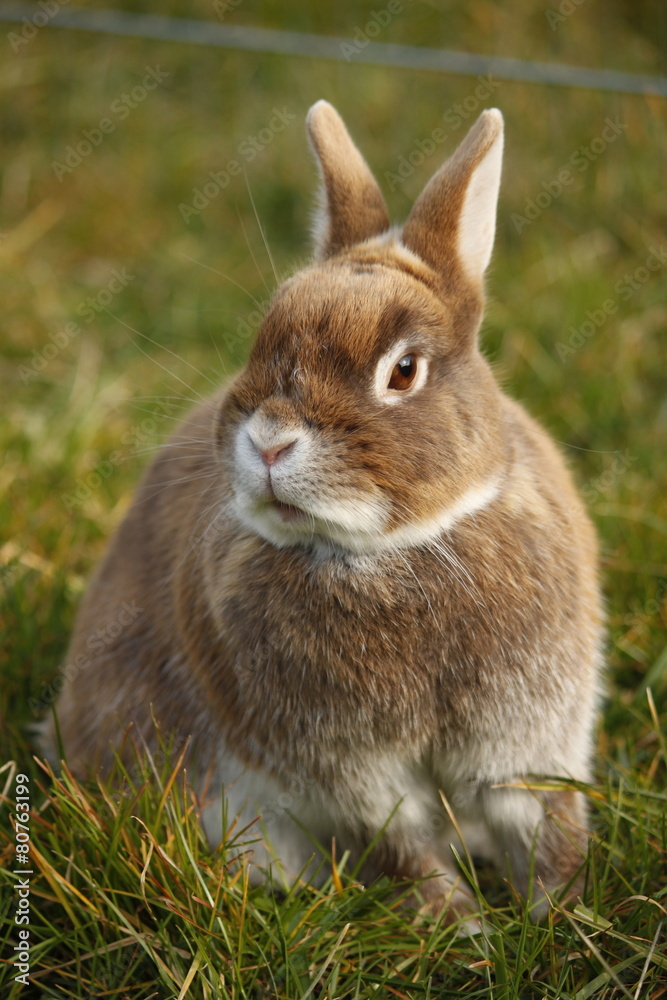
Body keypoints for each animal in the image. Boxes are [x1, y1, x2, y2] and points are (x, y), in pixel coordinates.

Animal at [42, 100, 603, 923]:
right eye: (262, 341)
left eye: (404, 370)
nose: (270, 441)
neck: (386, 552)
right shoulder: (348, 777)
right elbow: (403, 846)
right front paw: (462, 927)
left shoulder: (524, 742)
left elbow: (545, 825)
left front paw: (563, 919)